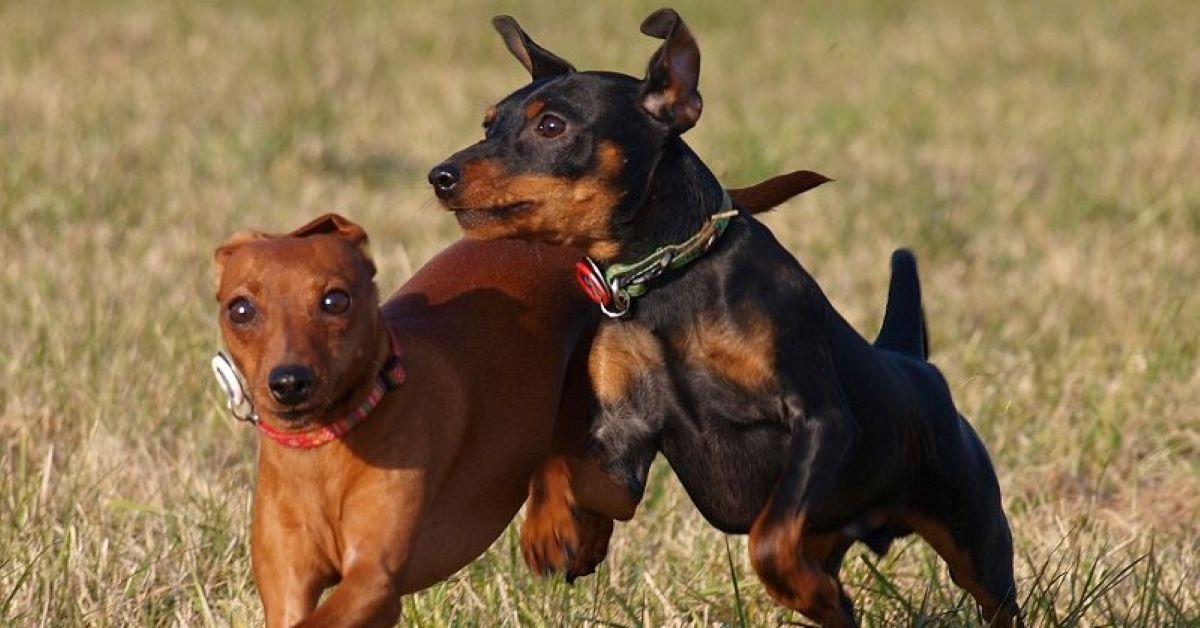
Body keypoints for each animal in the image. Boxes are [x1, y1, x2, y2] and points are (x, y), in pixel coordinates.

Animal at [213, 214, 597, 624]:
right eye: (240, 309)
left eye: (335, 300)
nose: (289, 382)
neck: (321, 452)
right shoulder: (287, 588)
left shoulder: (374, 578)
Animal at [427, 11, 1017, 628]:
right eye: (488, 123)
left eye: (550, 126)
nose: (439, 176)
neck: (670, 282)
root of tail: (908, 359)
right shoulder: (627, 438)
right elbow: (556, 461)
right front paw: (558, 531)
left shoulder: (822, 421)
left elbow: (768, 538)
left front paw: (804, 591)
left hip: (976, 539)